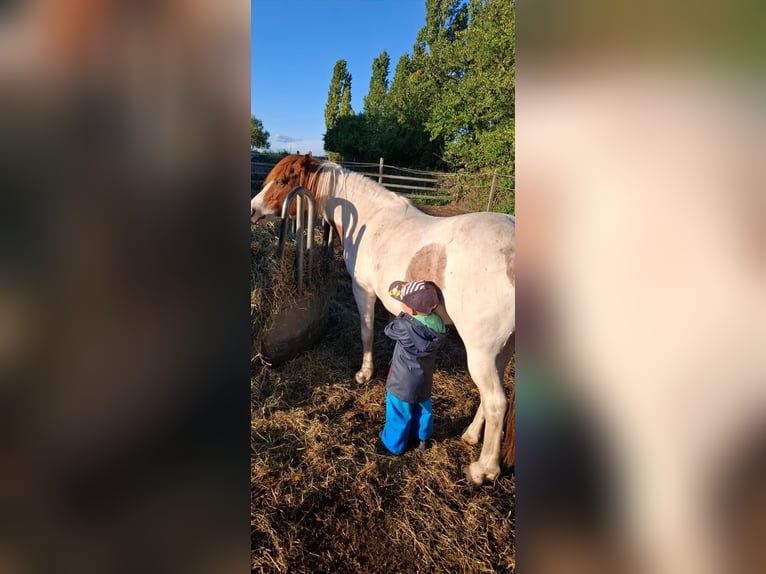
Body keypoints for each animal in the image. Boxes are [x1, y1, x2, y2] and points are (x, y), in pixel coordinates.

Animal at [251, 153, 515, 484]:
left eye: (283, 181)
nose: (253, 209)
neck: (372, 219)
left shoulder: (362, 290)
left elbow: (366, 331)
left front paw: (365, 374)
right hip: (501, 351)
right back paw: (469, 436)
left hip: (481, 352)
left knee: (496, 402)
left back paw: (483, 469)